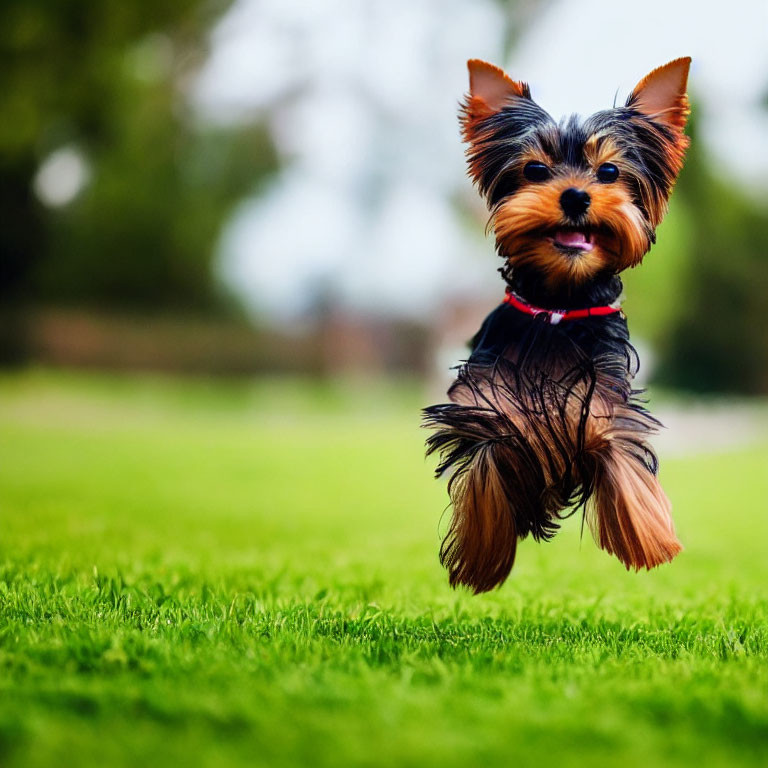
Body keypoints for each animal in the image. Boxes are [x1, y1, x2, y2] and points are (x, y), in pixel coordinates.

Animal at [424, 57, 692, 592]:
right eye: (535, 170)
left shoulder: (604, 399)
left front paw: (650, 541)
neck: (558, 305)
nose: (574, 196)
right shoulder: (486, 405)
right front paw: (480, 561)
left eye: (609, 171)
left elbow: (616, 451)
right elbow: (490, 461)